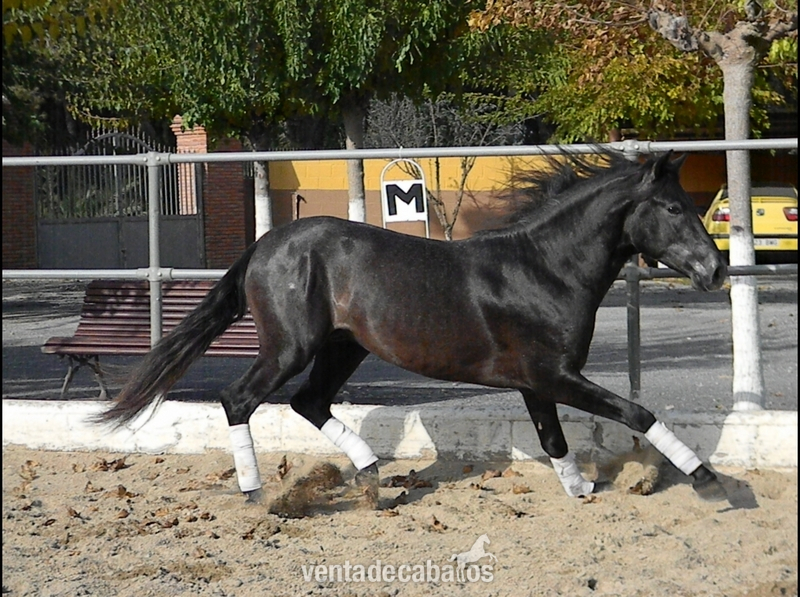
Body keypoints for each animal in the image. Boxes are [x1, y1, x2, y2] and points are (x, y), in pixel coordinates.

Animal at [96, 150, 729, 504]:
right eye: (674, 208)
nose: (716, 268)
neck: (544, 269)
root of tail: (265, 245)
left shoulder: (538, 382)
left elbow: (554, 439)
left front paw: (581, 489)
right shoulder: (555, 375)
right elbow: (637, 413)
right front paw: (706, 478)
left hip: (343, 348)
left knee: (309, 402)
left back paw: (373, 476)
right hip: (289, 347)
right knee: (239, 399)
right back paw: (255, 492)